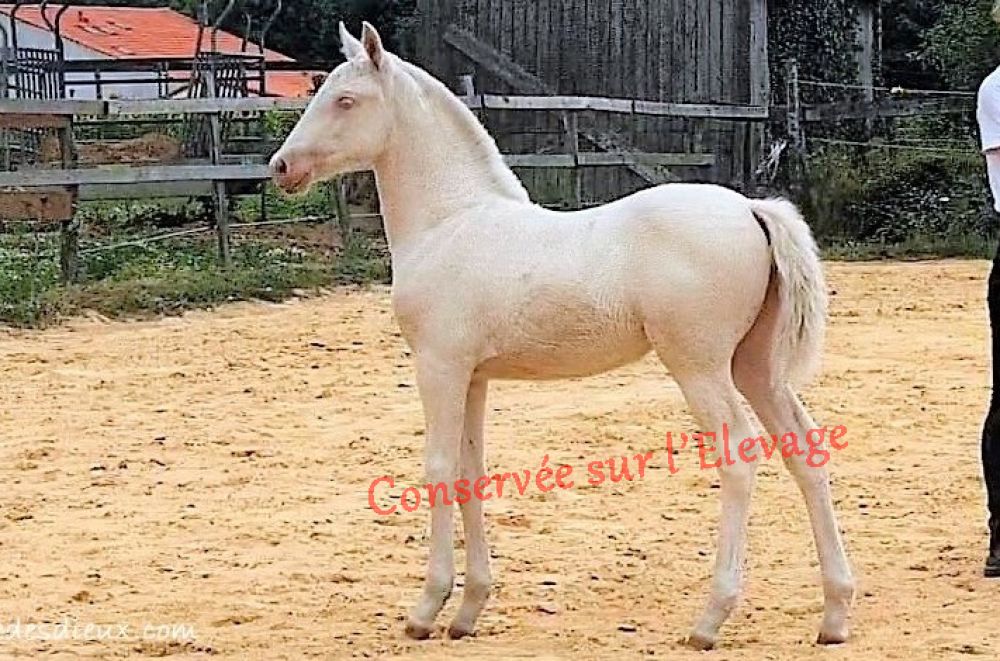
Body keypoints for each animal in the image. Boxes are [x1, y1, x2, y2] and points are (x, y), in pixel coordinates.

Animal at [269, 22, 855, 650]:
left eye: (345, 100)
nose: (280, 167)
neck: (451, 222)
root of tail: (751, 208)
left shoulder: (439, 366)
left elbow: (440, 468)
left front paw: (427, 609)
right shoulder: (474, 377)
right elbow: (472, 471)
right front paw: (468, 609)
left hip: (699, 367)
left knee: (738, 459)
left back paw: (710, 620)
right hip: (756, 367)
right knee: (804, 452)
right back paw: (834, 615)